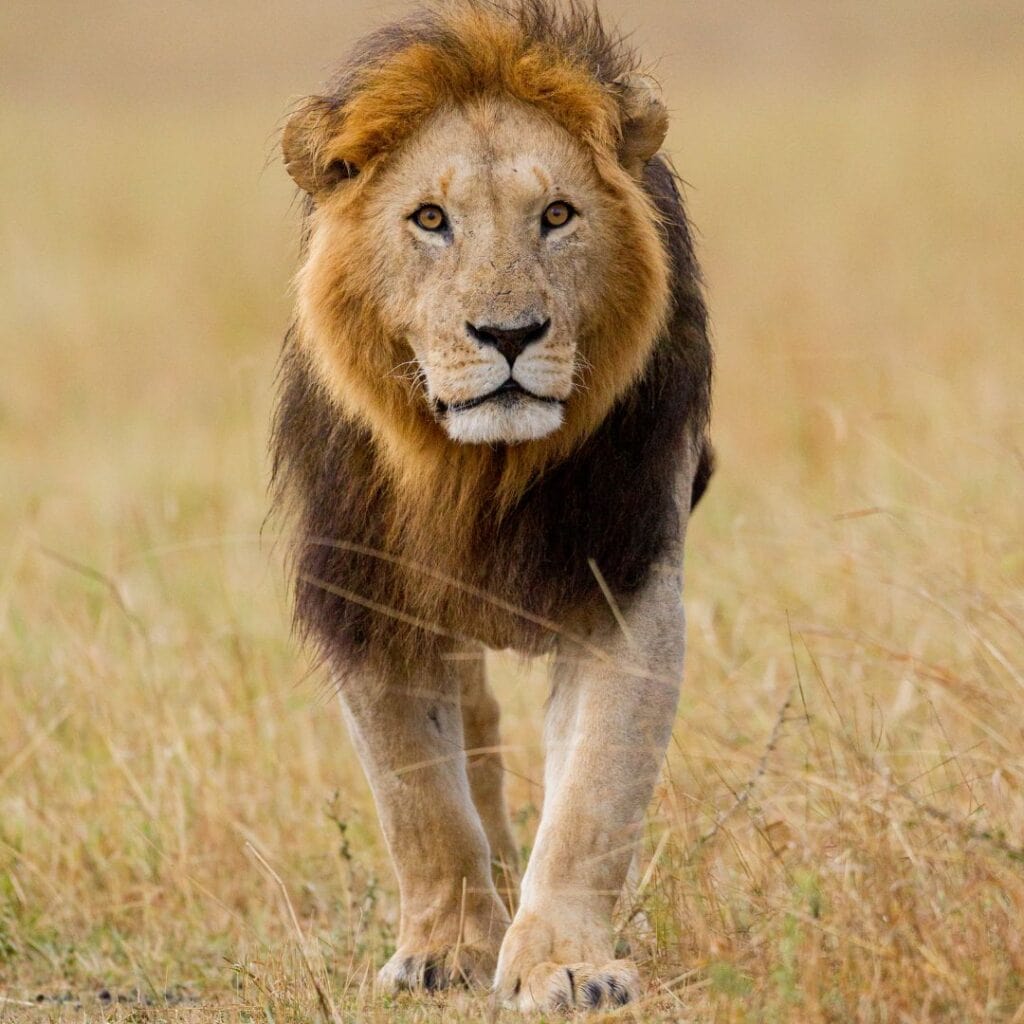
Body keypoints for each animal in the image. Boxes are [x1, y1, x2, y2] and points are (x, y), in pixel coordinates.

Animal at [272, 0, 713, 1012]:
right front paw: (444, 950)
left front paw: (565, 964)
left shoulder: (627, 584)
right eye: (430, 220)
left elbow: (592, 799)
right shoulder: (367, 596)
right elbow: (418, 801)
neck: (476, 472)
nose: (508, 334)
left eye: (557, 215)